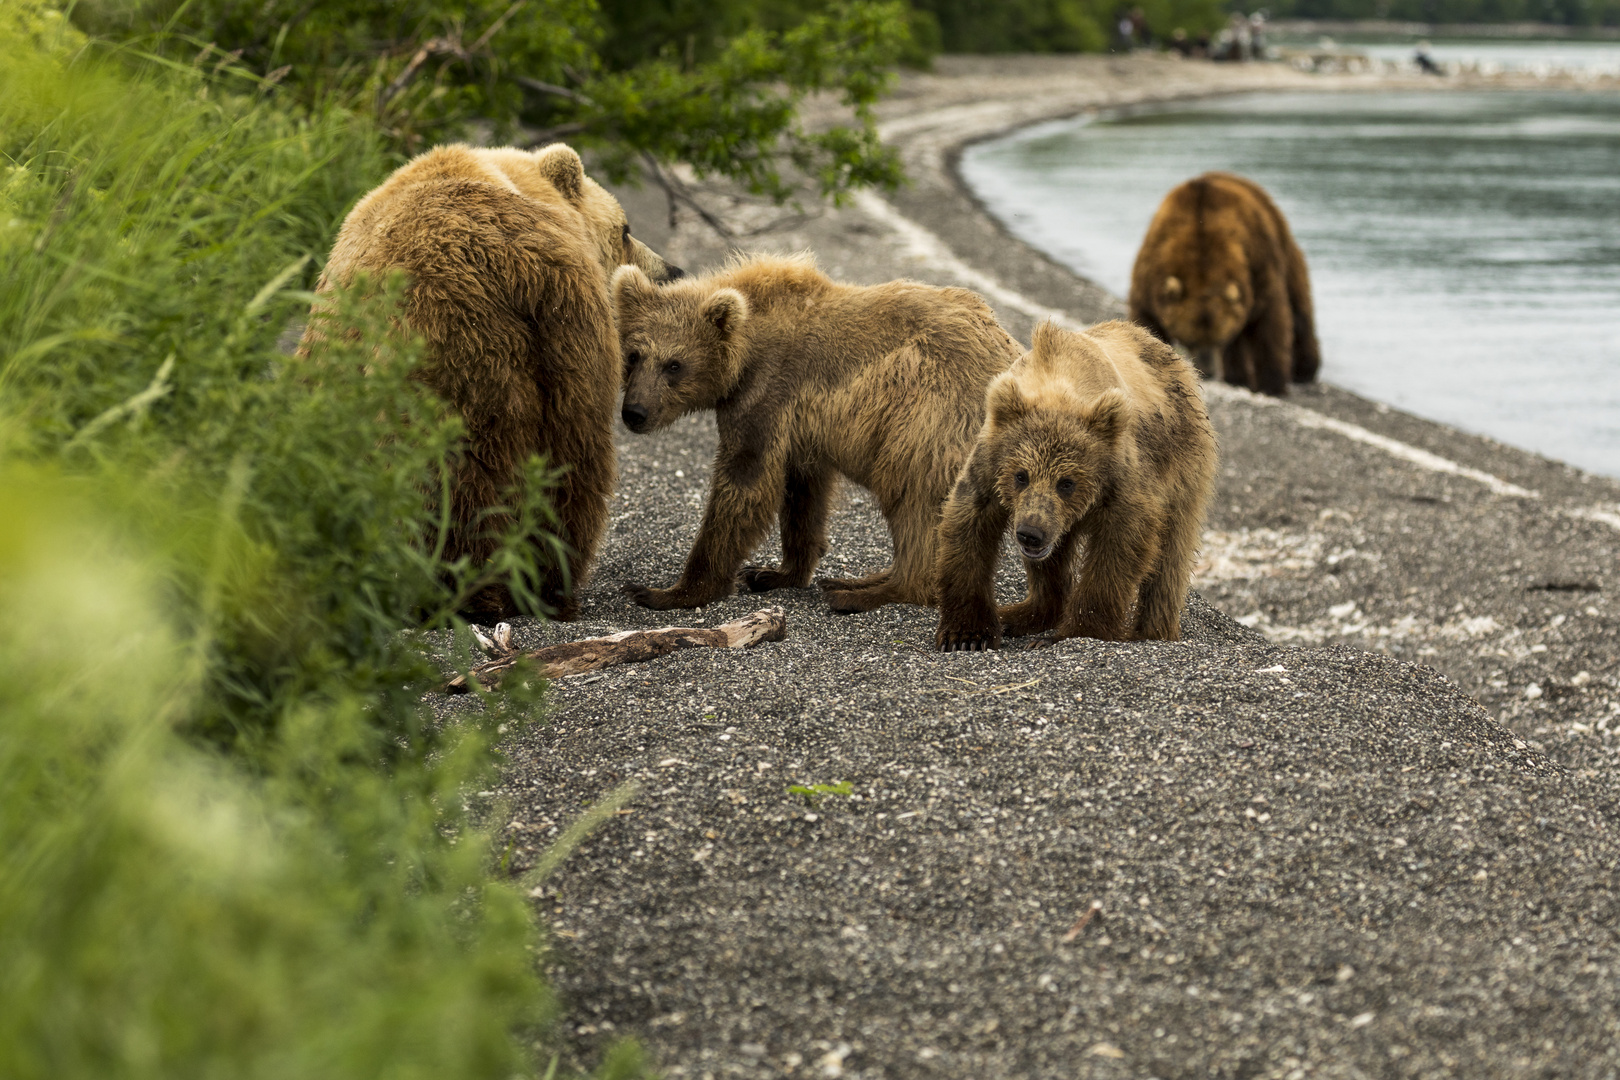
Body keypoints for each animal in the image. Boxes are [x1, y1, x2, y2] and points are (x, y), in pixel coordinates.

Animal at [304, 141, 683, 625]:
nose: (670, 271)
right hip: (567, 349)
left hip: (463, 354)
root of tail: (521, 264)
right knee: (572, 465)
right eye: (626, 230)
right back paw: (542, 581)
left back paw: (470, 586)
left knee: (467, 470)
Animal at [612, 247, 1017, 612]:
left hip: (930, 417)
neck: (747, 349)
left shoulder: (767, 391)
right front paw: (776, 572)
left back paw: (865, 591)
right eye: (633, 355)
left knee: (914, 500)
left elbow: (744, 483)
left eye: (674, 364)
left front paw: (669, 591)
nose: (635, 412)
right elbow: (803, 495)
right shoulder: (800, 429)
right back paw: (859, 580)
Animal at [926, 317, 1218, 654]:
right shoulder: (989, 464)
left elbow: (1120, 544)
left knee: (1171, 556)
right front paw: (966, 634)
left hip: (1184, 466)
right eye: (1020, 475)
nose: (1031, 533)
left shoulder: (1119, 476)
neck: (1059, 379)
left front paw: (1075, 631)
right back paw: (1020, 614)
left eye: (1067, 483)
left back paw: (1153, 630)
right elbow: (967, 527)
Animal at [1134, 172, 1321, 396]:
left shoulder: (1258, 266)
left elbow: (1270, 326)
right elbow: (1147, 319)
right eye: (1190, 340)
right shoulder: (1151, 273)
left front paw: (1271, 384)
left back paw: (1304, 370)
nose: (1208, 371)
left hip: (1285, 252)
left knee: (1299, 310)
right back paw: (1237, 378)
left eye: (1219, 340)